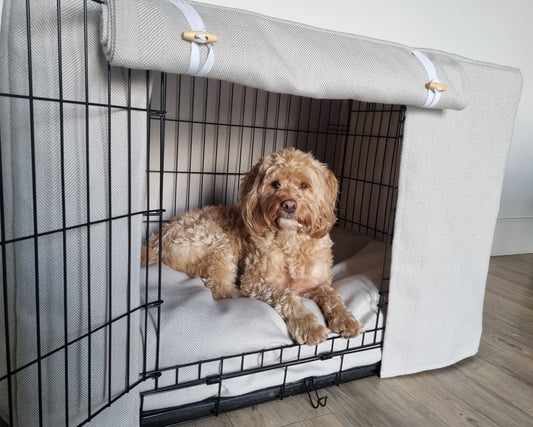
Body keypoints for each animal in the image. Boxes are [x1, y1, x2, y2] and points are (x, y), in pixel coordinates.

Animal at [142, 149, 362, 346]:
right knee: (219, 288)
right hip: (217, 241)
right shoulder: (257, 282)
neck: (290, 239)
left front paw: (346, 319)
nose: (289, 204)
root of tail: (158, 237)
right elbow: (287, 296)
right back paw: (237, 293)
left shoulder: (316, 284)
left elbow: (333, 295)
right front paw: (309, 326)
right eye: (275, 184)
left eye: (304, 185)